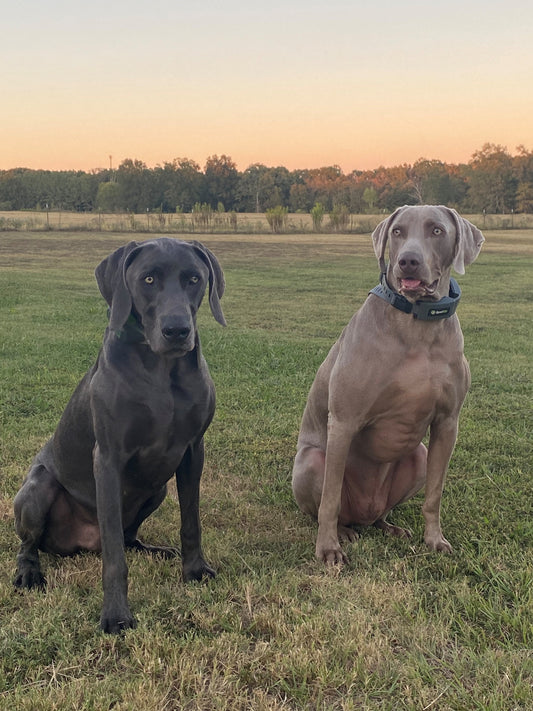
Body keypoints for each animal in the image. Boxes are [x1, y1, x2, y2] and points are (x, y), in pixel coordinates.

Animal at [12, 239, 224, 636]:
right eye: (148, 279)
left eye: (194, 279)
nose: (177, 330)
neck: (161, 370)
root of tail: (82, 544)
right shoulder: (108, 459)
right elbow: (114, 557)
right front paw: (115, 614)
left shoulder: (193, 452)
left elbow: (192, 520)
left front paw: (194, 571)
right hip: (37, 489)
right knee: (31, 544)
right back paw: (28, 572)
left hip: (157, 489)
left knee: (128, 537)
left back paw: (154, 549)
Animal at [294, 206, 484, 568]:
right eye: (397, 232)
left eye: (437, 230)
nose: (408, 260)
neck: (418, 326)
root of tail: (364, 514)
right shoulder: (344, 421)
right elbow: (330, 499)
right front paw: (327, 549)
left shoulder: (448, 422)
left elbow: (435, 495)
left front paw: (435, 540)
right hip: (311, 461)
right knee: (331, 506)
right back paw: (343, 532)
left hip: (418, 457)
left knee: (382, 513)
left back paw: (389, 526)